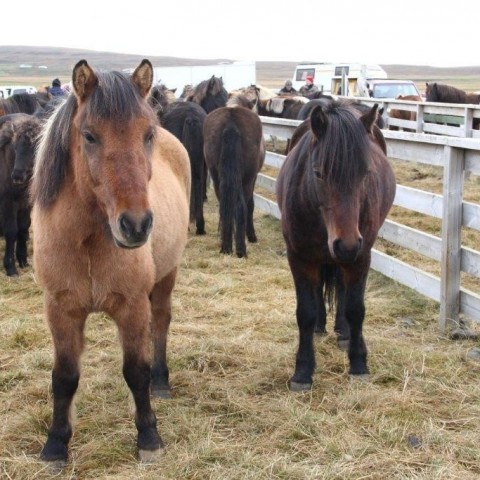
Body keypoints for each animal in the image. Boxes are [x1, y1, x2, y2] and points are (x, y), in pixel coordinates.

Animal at [29, 58, 191, 464]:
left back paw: (161, 380)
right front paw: (56, 444)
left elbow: (136, 371)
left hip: (167, 276)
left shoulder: (131, 307)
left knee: (160, 323)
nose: (136, 225)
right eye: (89, 136)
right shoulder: (61, 310)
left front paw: (148, 437)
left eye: (147, 134)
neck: (88, 240)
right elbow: (64, 376)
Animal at [203, 103, 266, 256]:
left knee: (225, 207)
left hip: (217, 179)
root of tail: (231, 124)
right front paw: (251, 236)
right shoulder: (252, 179)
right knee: (242, 207)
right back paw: (240, 249)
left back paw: (226, 247)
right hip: (247, 181)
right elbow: (251, 206)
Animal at [276, 100, 396, 390]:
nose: (346, 245)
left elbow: (355, 308)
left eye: (366, 173)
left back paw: (343, 332)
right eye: (318, 173)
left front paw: (358, 363)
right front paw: (302, 371)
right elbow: (305, 312)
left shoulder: (361, 257)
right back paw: (321, 326)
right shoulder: (299, 257)